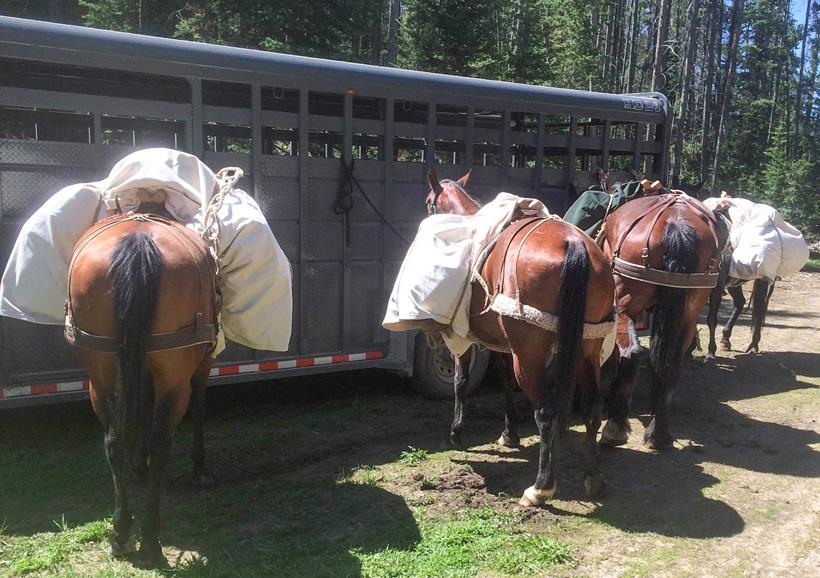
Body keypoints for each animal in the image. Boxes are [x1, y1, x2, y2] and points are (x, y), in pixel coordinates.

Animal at [65, 202, 218, 565]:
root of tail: (137, 243)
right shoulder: (201, 366)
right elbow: (199, 408)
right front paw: (199, 469)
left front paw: (138, 466)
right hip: (175, 377)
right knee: (163, 440)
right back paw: (149, 538)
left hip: (100, 374)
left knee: (114, 441)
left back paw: (122, 533)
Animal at [425, 168, 615, 506]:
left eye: (427, 203)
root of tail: (574, 243)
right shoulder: (503, 344)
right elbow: (504, 380)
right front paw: (509, 433)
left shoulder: (472, 338)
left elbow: (461, 380)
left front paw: (456, 431)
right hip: (587, 347)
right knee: (592, 407)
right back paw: (593, 479)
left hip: (528, 355)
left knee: (546, 412)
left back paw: (541, 486)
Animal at [597, 193, 727, 449]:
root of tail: (677, 225)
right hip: (688, 315)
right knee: (672, 365)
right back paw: (660, 434)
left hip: (624, 306)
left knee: (631, 355)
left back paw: (615, 428)